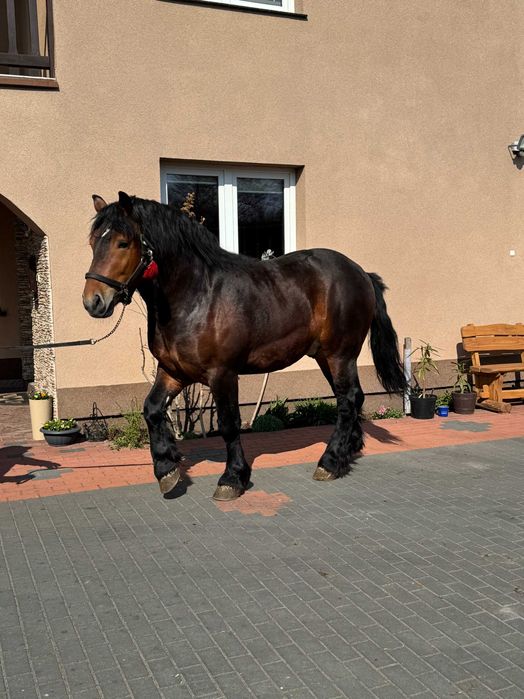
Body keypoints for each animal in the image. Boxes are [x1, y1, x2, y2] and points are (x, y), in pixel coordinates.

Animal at [83, 191, 406, 501]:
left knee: (348, 400)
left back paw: (330, 461)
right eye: (92, 243)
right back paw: (347, 451)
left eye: (123, 243)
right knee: (350, 398)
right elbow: (151, 409)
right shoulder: (173, 371)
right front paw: (166, 468)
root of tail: (360, 273)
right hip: (325, 356)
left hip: (340, 354)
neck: (196, 296)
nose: (93, 301)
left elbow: (228, 423)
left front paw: (232, 478)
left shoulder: (222, 373)